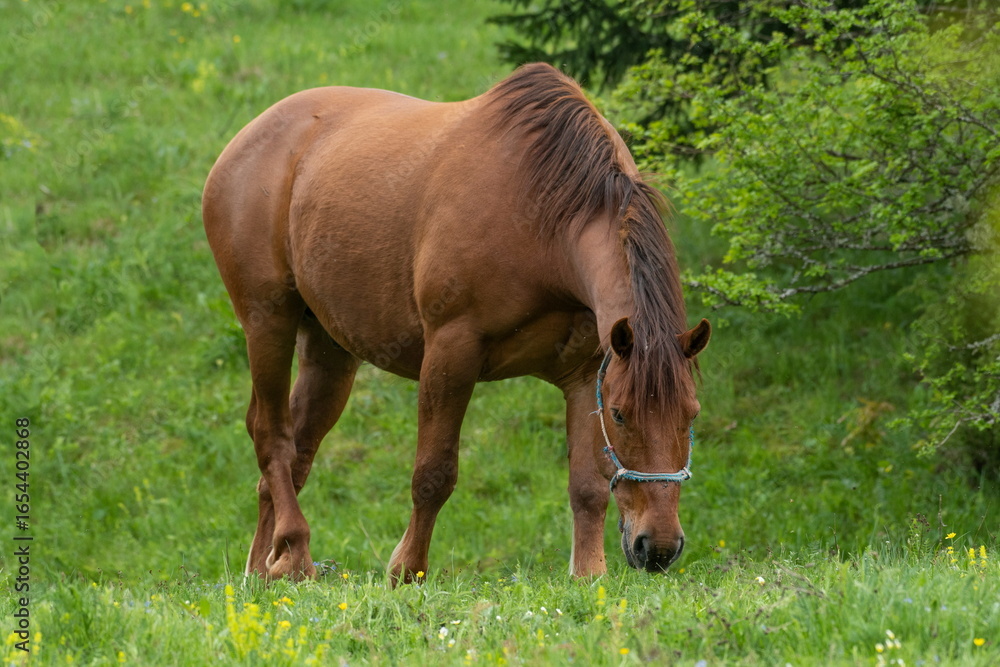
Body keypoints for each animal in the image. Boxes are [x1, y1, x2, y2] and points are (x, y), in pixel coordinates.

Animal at [202, 62, 710, 585]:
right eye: (622, 415)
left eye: (691, 415)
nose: (659, 547)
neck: (545, 219)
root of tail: (248, 139)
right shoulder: (452, 353)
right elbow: (433, 474)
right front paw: (406, 571)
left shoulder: (587, 374)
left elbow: (587, 485)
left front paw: (589, 575)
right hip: (268, 323)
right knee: (272, 436)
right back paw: (296, 552)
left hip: (329, 352)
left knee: (295, 452)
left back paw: (266, 566)